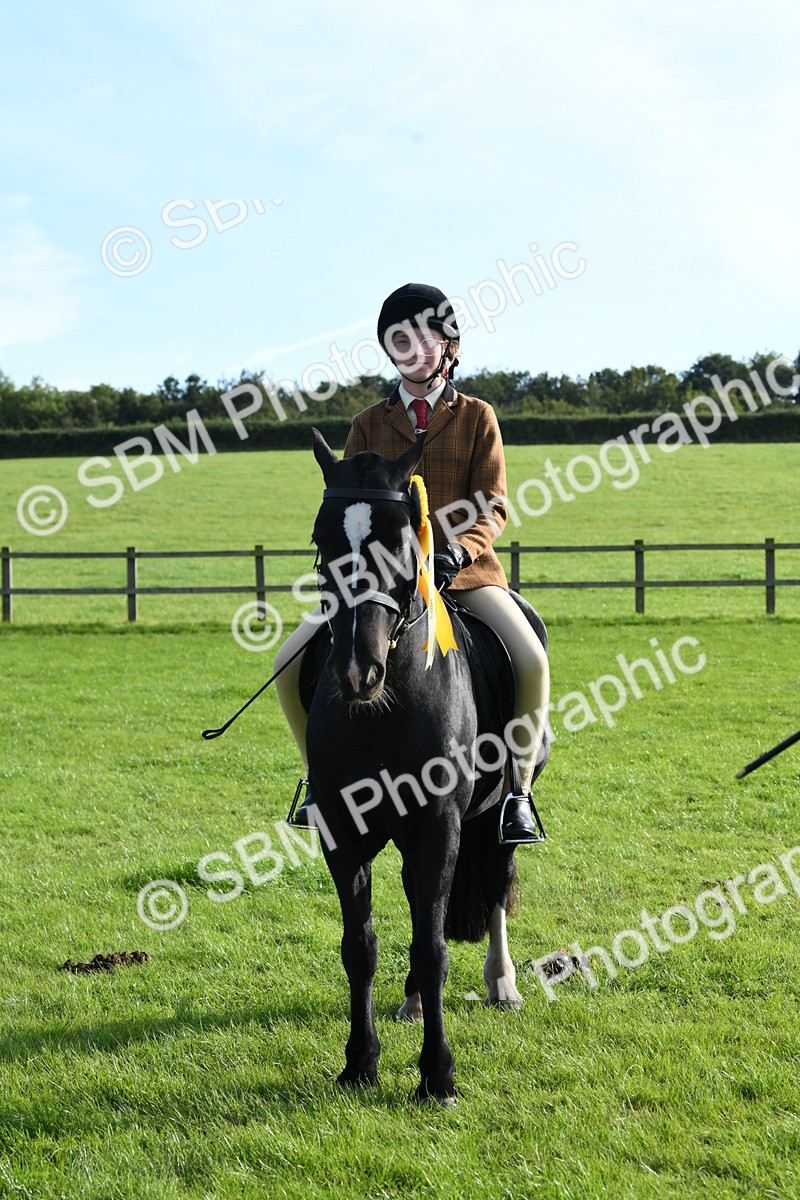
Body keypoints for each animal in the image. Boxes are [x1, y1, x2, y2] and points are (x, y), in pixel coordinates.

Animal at [301, 428, 549, 1105]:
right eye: (323, 540)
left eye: (401, 538)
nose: (356, 672)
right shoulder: (342, 831)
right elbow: (360, 947)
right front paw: (360, 1063)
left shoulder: (440, 824)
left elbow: (435, 946)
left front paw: (438, 1074)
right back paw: (412, 1003)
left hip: (493, 816)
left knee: (493, 882)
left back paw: (502, 984)